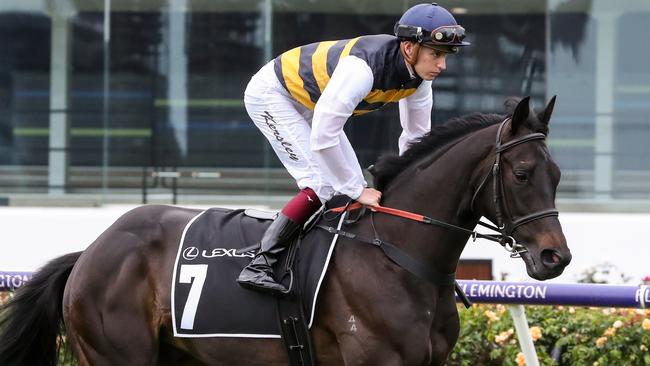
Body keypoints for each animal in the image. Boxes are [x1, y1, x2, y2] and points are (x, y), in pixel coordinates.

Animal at [0, 96, 568, 364]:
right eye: (522, 174)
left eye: (558, 174)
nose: (554, 258)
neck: (396, 255)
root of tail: (89, 253)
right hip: (118, 353)